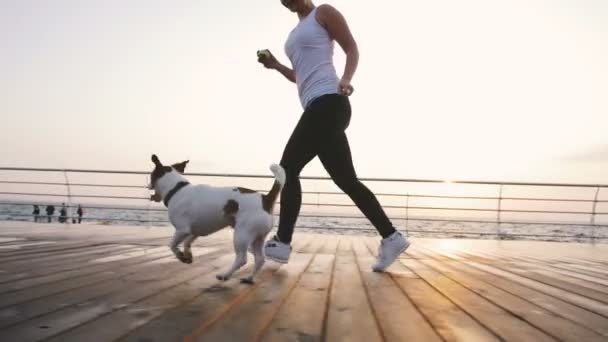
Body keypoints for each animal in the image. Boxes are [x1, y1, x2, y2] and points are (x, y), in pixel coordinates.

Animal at [150, 154, 288, 284]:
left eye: (151, 176)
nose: (148, 185)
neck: (177, 189)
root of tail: (265, 199)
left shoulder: (182, 230)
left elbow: (172, 245)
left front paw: (181, 256)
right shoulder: (195, 231)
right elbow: (187, 243)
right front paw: (188, 255)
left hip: (242, 235)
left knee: (242, 259)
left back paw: (225, 275)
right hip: (258, 238)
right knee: (260, 259)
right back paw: (249, 278)